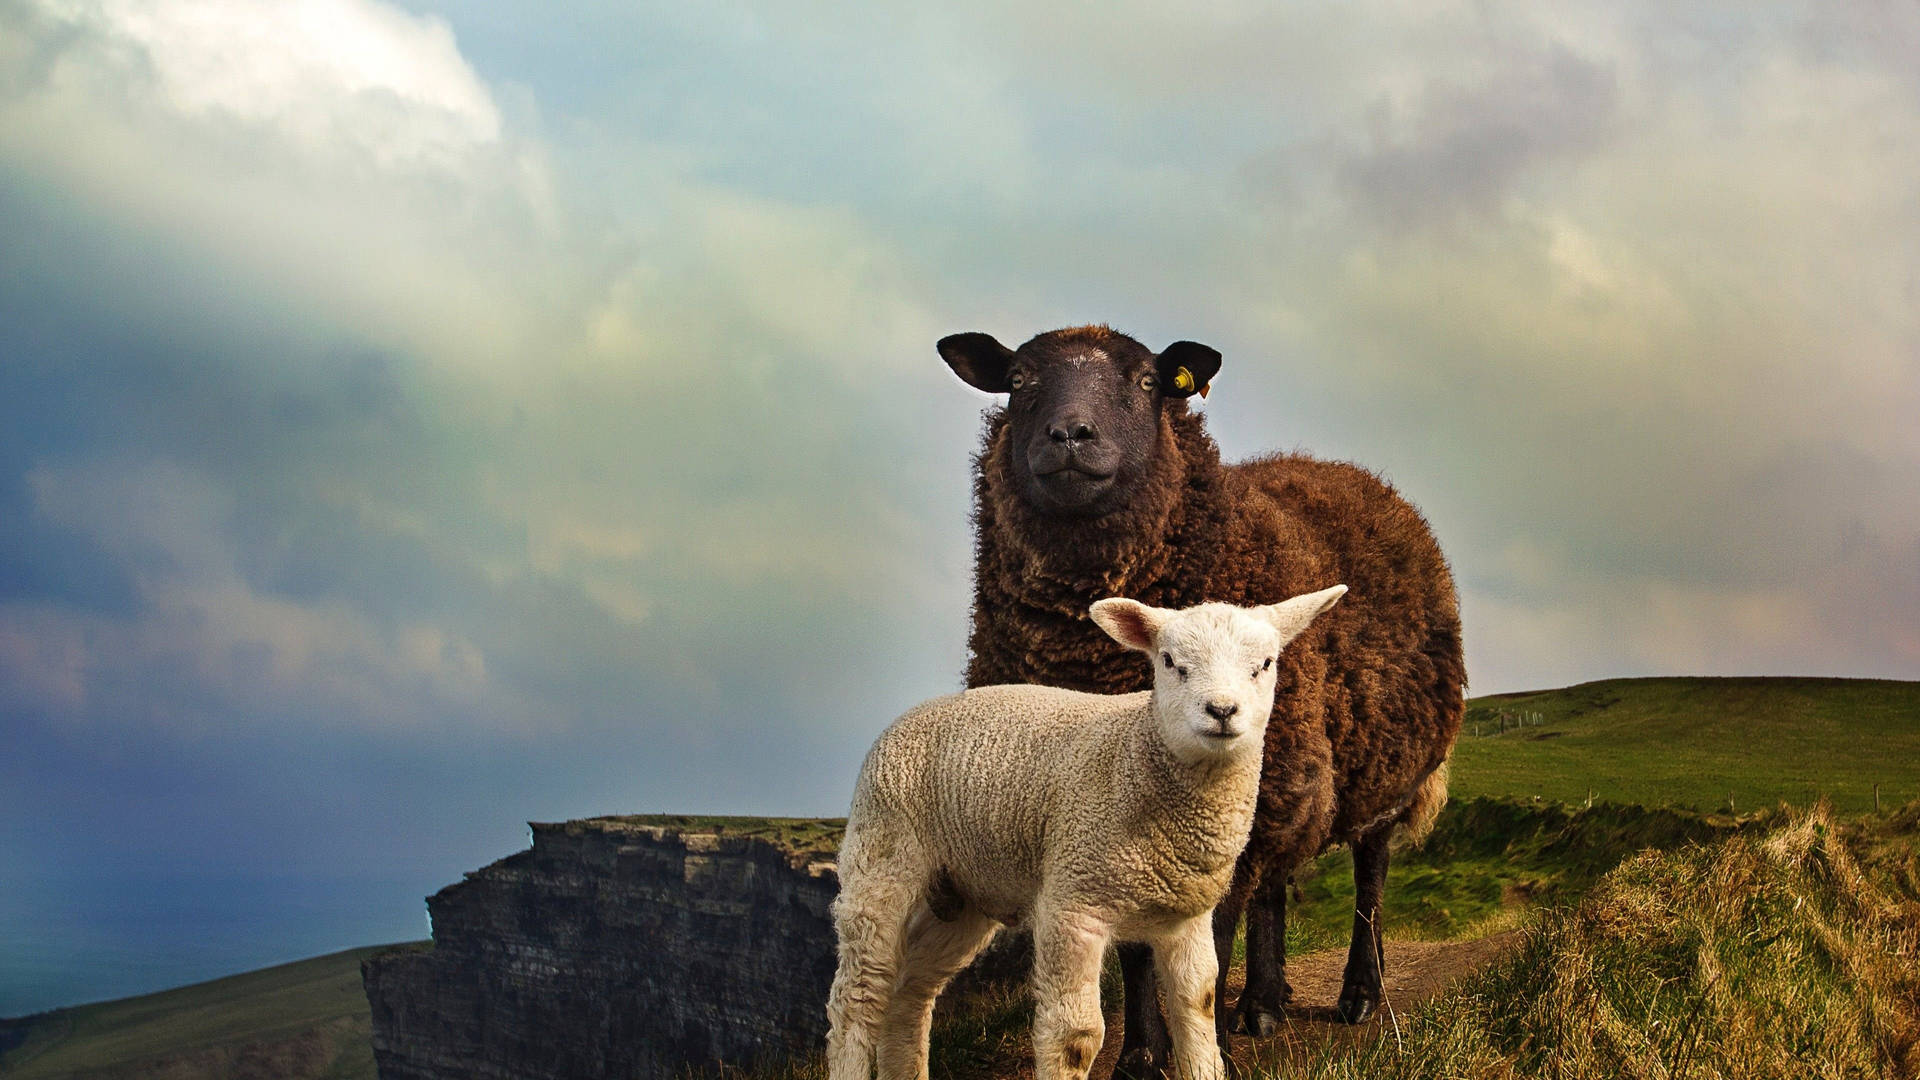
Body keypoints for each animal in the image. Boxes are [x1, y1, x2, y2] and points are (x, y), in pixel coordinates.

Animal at [825, 588, 1351, 1076]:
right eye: (1169, 661)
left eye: (1265, 664)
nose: (1221, 710)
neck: (1136, 758)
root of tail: (909, 716)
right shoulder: (1073, 903)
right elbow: (1075, 1038)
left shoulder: (1186, 916)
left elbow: (1198, 1006)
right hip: (882, 856)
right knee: (859, 997)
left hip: (963, 892)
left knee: (910, 992)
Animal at [936, 322, 1459, 1068]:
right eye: (1018, 380)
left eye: (1147, 381)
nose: (1070, 434)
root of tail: (1353, 473)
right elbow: (1137, 950)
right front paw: (1139, 1058)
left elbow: (1207, 940)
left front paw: (1199, 1052)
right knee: (1277, 885)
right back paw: (1264, 1004)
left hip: (1378, 768)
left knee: (1370, 875)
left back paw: (1360, 993)